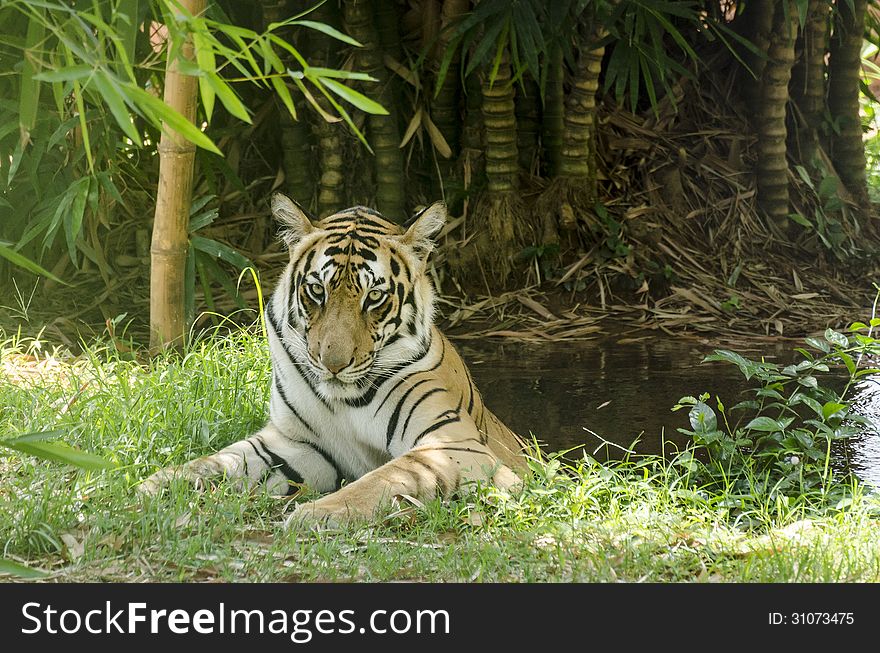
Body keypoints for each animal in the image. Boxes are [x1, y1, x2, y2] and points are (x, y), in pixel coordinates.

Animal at [140, 192, 524, 524]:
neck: (344, 402)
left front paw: (315, 514)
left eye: (374, 297)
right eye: (316, 290)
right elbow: (220, 461)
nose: (333, 365)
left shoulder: (455, 445)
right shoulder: (294, 444)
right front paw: (154, 484)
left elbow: (386, 477)